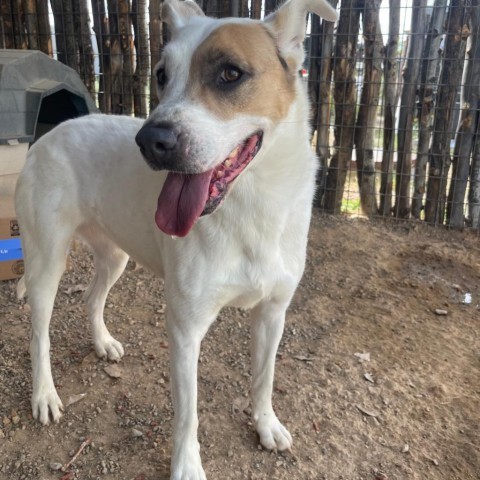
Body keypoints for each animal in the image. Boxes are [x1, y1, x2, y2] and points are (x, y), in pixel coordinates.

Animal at [15, 0, 338, 476]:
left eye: (230, 73)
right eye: (162, 75)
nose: (150, 140)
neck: (254, 204)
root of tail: (49, 134)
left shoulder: (273, 313)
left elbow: (264, 379)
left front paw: (266, 425)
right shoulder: (185, 329)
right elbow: (188, 413)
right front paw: (187, 466)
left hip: (115, 256)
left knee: (91, 298)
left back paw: (102, 343)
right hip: (46, 263)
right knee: (39, 334)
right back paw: (44, 395)